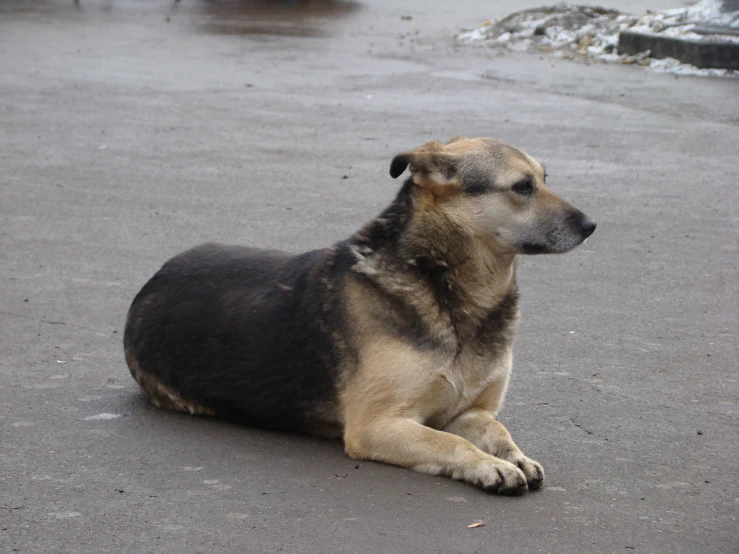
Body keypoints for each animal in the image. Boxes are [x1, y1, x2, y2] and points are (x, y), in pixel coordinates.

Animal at [123, 136, 596, 494]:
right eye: (522, 187)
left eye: (543, 180)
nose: (591, 225)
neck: (446, 285)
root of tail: (153, 280)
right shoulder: (377, 425)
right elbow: (448, 443)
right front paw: (490, 466)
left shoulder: (471, 413)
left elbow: (499, 432)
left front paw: (515, 457)